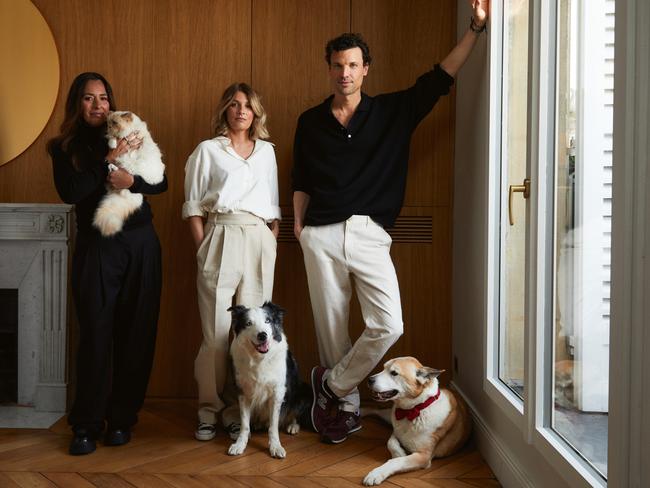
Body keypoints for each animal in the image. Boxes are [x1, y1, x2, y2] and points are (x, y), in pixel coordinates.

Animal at [362, 356, 468, 486]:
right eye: (383, 368)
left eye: (394, 373)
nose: (369, 379)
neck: (414, 410)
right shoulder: (396, 431)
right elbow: (390, 442)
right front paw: (399, 453)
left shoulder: (423, 456)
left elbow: (396, 461)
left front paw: (377, 473)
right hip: (389, 416)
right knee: (376, 410)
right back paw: (362, 411)